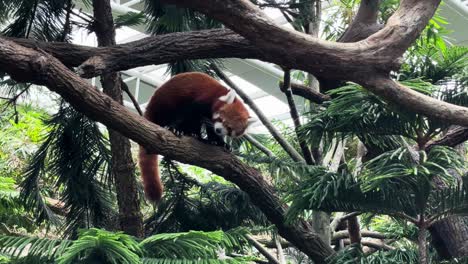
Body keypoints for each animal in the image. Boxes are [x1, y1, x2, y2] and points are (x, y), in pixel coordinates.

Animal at [139, 71, 256, 202]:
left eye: (230, 128)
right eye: (221, 119)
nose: (219, 130)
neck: (219, 95)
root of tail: (150, 108)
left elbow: (210, 129)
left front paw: (221, 143)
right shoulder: (202, 100)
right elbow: (186, 113)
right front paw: (175, 127)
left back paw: (196, 135)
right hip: (165, 104)